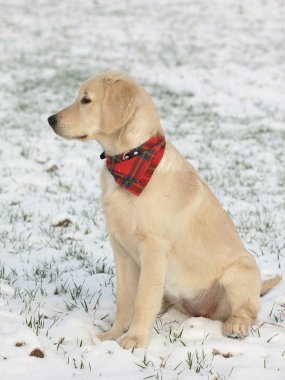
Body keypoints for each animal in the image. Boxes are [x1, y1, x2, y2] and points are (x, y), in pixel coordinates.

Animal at [47, 70, 278, 348]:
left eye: (86, 100)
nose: (50, 119)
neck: (129, 163)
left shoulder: (154, 248)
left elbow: (144, 297)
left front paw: (135, 339)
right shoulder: (121, 248)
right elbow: (125, 297)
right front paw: (113, 334)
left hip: (242, 269)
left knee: (247, 311)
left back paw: (236, 324)